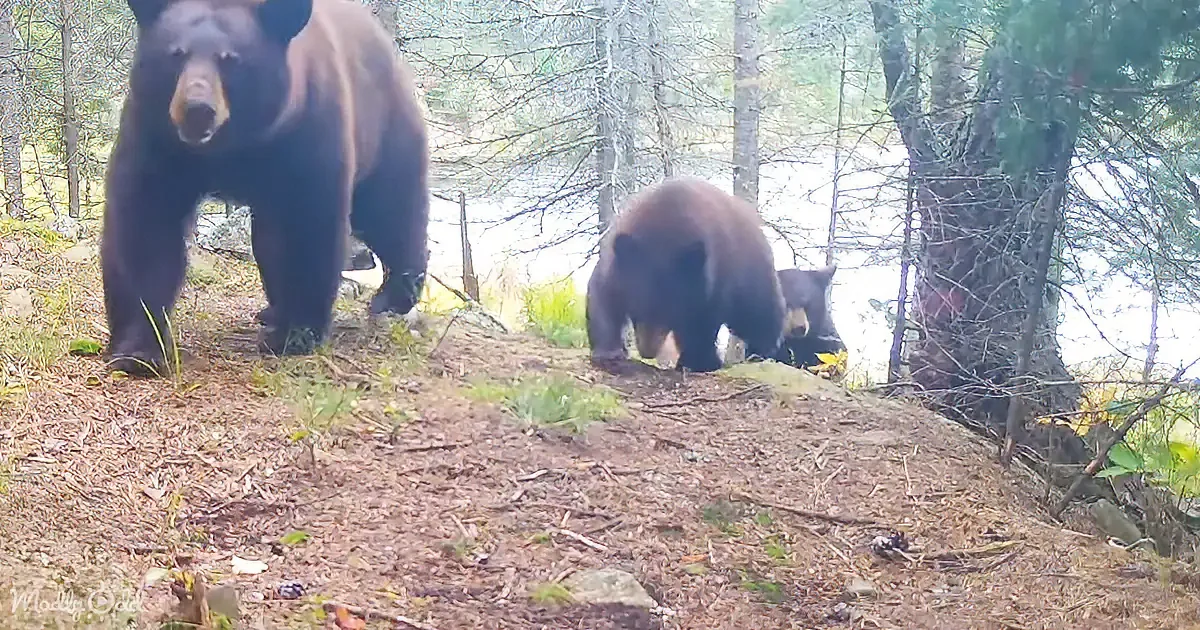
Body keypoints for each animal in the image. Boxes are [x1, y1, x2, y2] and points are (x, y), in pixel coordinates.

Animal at [101, 0, 430, 376]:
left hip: (384, 128)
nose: (197, 110)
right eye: (176, 53)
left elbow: (306, 229)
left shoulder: (305, 134)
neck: (234, 147)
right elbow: (145, 227)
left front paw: (294, 336)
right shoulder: (157, 140)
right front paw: (138, 350)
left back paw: (393, 295)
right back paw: (272, 311)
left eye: (230, 59)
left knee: (390, 209)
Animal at [586, 177, 786, 373]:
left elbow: (702, 321)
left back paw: (761, 351)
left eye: (668, 314)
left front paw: (699, 362)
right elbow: (603, 296)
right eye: (635, 312)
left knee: (758, 312)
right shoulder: (616, 264)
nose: (647, 351)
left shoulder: (711, 278)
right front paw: (610, 353)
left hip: (753, 273)